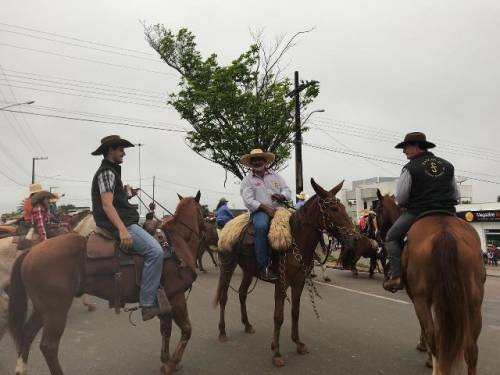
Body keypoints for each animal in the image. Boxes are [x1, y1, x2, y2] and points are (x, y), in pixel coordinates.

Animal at [7, 194, 203, 375]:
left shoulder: (165, 301)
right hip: (55, 311)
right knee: (49, 346)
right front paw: (171, 363)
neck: (177, 243)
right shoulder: (176, 297)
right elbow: (186, 330)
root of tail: (31, 251)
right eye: (203, 212)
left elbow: (166, 330)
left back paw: (21, 369)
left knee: (27, 334)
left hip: (42, 310)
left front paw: (167, 360)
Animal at [213, 181, 358, 368]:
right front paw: (276, 352)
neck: (295, 242)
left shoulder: (299, 282)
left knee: (242, 293)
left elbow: (295, 312)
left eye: (343, 207)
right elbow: (278, 316)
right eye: (333, 208)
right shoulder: (281, 283)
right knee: (224, 297)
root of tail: (227, 227)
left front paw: (298, 343)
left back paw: (247, 325)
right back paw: (222, 332)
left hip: (248, 271)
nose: (355, 239)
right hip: (227, 266)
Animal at [376, 191, 486, 375]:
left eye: (376, 211)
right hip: (474, 303)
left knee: (432, 333)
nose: (377, 236)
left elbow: (424, 327)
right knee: (471, 349)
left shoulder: (417, 298)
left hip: (421, 299)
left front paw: (423, 349)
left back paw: (436, 366)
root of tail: (444, 232)